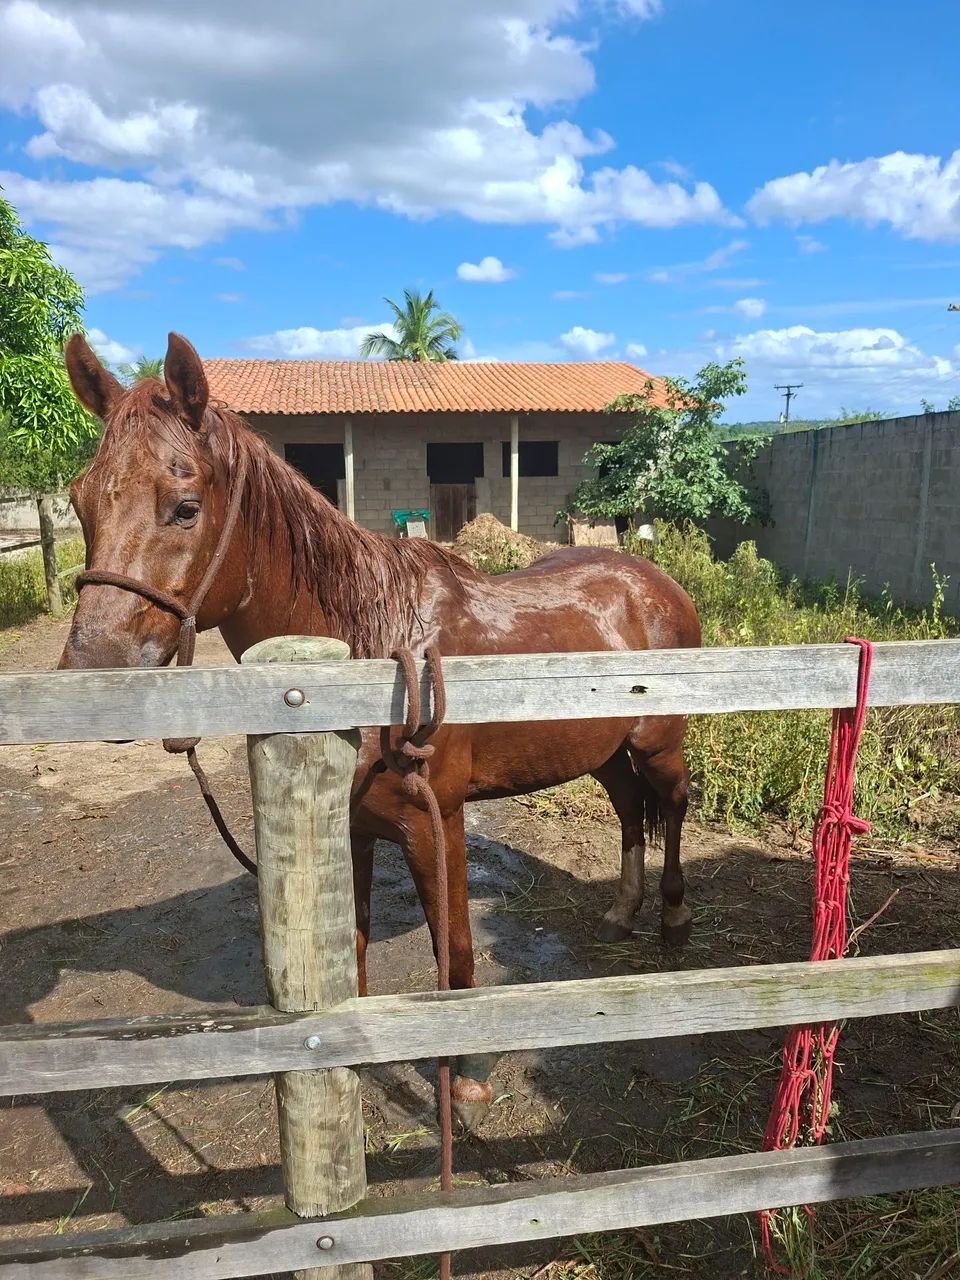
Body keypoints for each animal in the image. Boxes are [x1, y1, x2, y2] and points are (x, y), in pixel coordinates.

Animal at [58, 331, 702, 1127]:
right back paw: (620, 911)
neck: (372, 653)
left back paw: (673, 919)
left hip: (657, 742)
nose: (93, 672)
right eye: (80, 502)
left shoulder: (437, 822)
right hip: (603, 750)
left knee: (671, 804)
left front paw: (466, 1077)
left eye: (184, 506)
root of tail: (656, 580)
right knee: (629, 810)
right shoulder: (352, 829)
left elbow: (455, 949)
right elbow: (354, 948)